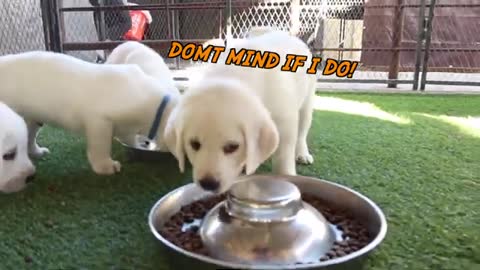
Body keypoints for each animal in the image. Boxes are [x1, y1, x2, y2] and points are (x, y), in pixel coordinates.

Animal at [0, 51, 180, 175]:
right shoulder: (99, 120)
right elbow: (100, 144)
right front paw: (106, 166)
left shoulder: (126, 128)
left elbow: (128, 138)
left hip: (31, 117)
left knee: (29, 133)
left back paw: (36, 151)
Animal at [163, 29, 316, 194]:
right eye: (194, 144)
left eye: (232, 147)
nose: (208, 184)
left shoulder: (285, 124)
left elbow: (284, 156)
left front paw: (287, 175)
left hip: (307, 102)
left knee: (302, 132)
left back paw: (302, 154)